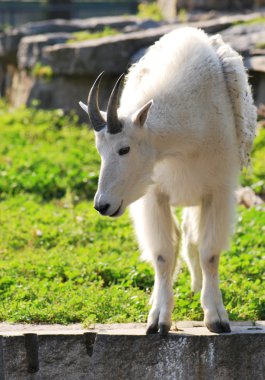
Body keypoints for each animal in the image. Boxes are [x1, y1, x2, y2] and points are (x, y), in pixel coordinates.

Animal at [79, 27, 256, 336]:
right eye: (99, 150)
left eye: (124, 149)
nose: (103, 205)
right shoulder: (155, 196)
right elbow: (163, 255)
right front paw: (158, 320)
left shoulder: (217, 190)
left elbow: (210, 253)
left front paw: (216, 317)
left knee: (191, 237)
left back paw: (196, 286)